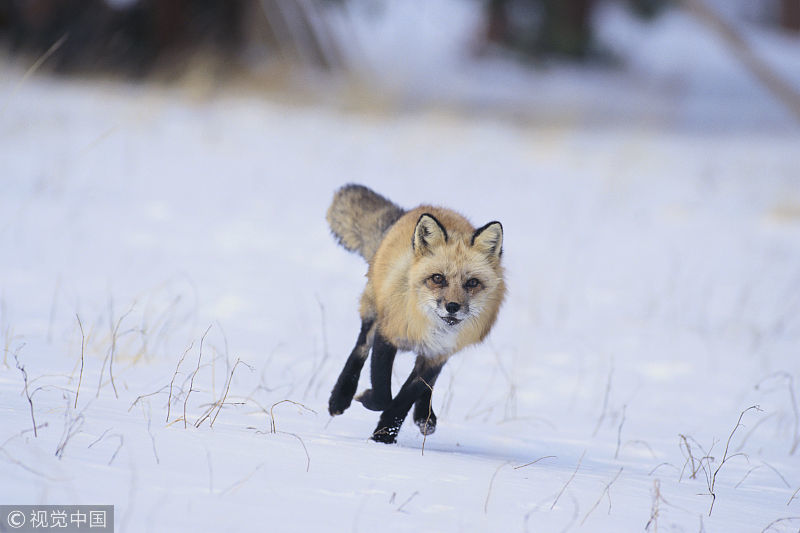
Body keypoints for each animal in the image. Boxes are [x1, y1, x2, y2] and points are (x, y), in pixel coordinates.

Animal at [326, 185, 506, 442]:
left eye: (472, 283)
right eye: (438, 278)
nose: (452, 307)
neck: (432, 329)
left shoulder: (437, 355)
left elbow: (405, 399)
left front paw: (384, 436)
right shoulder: (388, 334)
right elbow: (383, 395)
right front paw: (372, 412)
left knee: (429, 386)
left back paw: (425, 417)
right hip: (373, 310)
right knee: (359, 349)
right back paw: (340, 397)